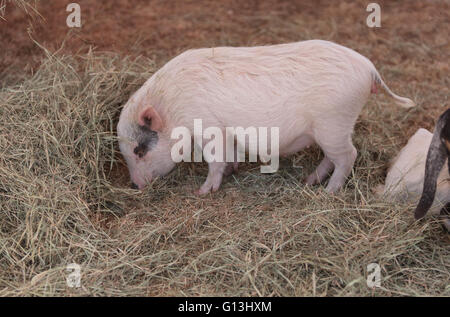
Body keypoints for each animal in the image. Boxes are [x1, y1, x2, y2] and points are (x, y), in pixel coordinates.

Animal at [117, 39, 414, 193]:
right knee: (334, 157)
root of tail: (369, 68)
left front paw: (204, 192)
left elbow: (215, 160)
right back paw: (310, 181)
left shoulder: (209, 127)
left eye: (139, 150)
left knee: (348, 156)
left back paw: (328, 192)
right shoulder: (227, 132)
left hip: (333, 122)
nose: (134, 185)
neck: (172, 106)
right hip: (334, 128)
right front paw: (233, 170)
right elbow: (230, 154)